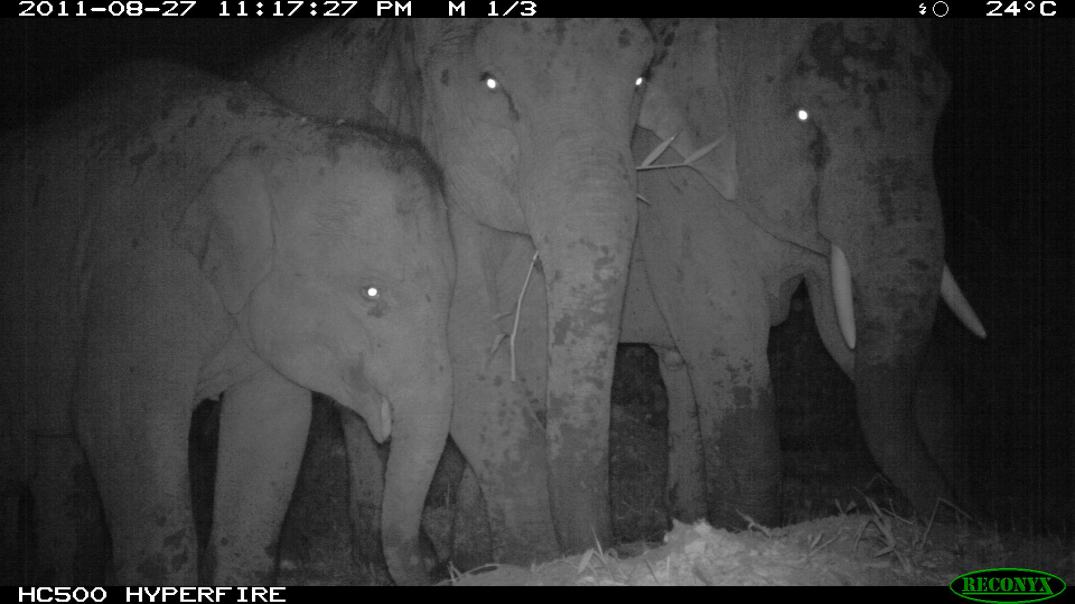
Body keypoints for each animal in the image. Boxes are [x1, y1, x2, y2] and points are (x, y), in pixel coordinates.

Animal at [0, 60, 455, 585]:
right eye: (371, 293)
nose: (439, 563)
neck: (271, 137)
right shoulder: (136, 281)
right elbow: (119, 420)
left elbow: (272, 424)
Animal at [246, 19, 654, 563]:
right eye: (490, 83)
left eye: (640, 80)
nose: (607, 550)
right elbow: (463, 349)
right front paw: (536, 557)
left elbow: (527, 339)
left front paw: (483, 556)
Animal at [624, 19, 986, 527]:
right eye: (801, 115)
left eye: (938, 110)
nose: (954, 513)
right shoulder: (675, 184)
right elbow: (729, 346)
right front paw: (746, 531)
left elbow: (840, 336)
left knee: (676, 369)